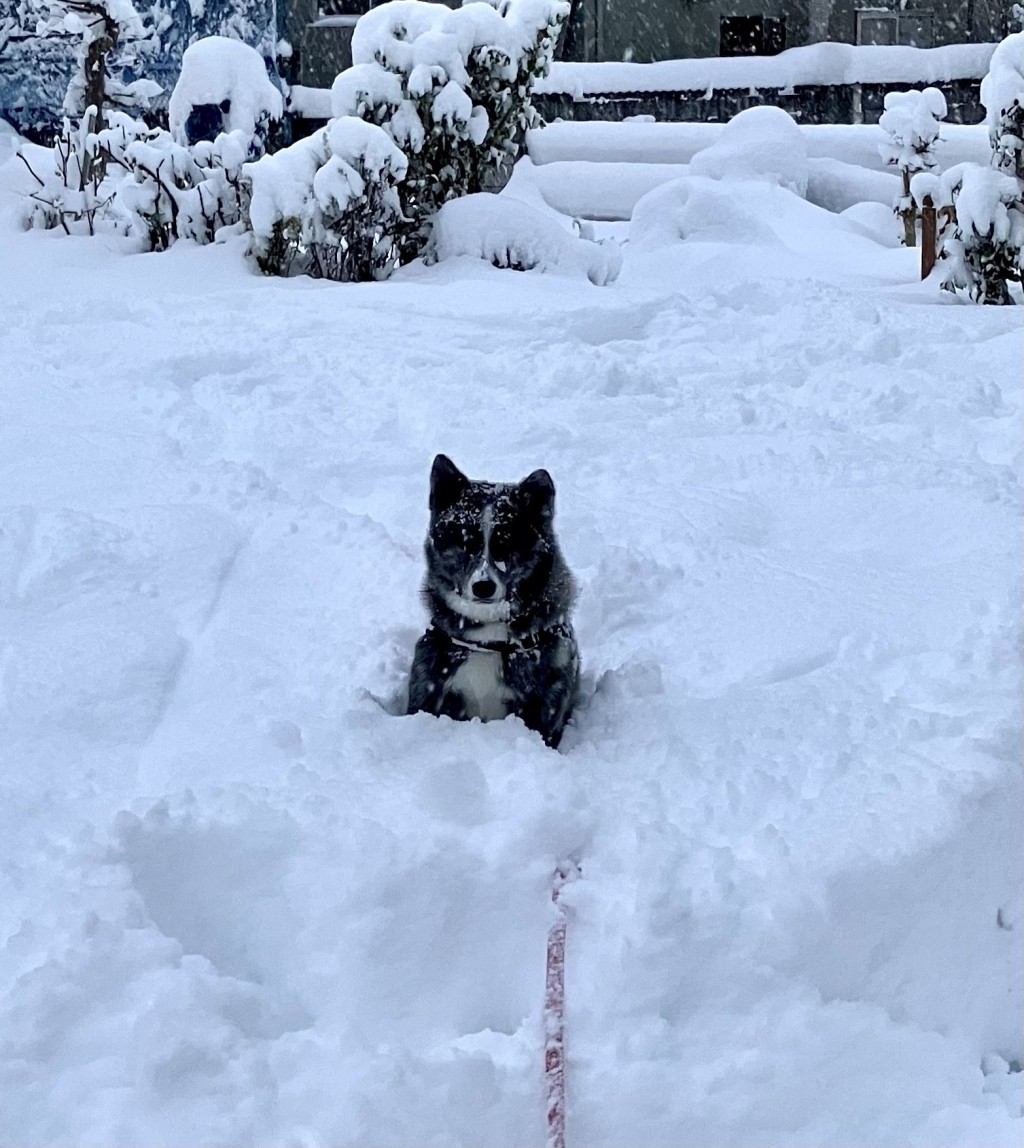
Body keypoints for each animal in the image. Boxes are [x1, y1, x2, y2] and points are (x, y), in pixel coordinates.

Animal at [410, 452, 583, 748]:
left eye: (506, 544)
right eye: (465, 542)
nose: (483, 587)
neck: (489, 639)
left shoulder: (544, 705)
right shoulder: (430, 687)